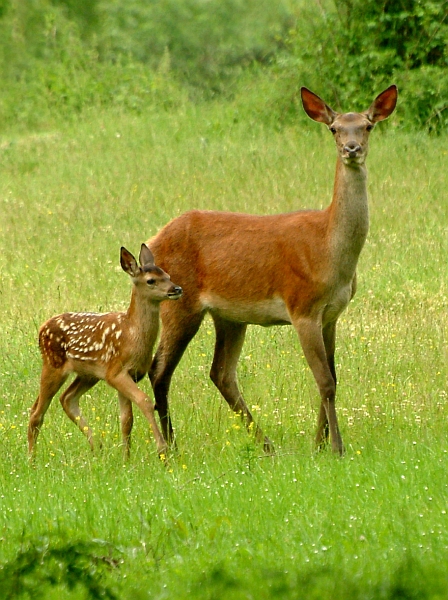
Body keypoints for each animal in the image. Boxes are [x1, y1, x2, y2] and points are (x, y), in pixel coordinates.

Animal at [28, 244, 182, 460]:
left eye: (167, 275)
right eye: (151, 280)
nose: (176, 289)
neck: (132, 333)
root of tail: (42, 328)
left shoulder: (129, 374)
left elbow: (126, 420)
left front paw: (126, 459)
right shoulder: (115, 371)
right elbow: (145, 401)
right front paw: (162, 451)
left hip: (88, 373)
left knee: (67, 398)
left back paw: (97, 448)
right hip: (53, 364)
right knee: (36, 413)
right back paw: (32, 460)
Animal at [146, 86, 396, 454]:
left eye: (367, 126)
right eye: (334, 128)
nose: (352, 149)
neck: (330, 252)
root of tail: (154, 239)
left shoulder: (332, 314)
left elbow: (333, 377)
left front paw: (318, 444)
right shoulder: (302, 306)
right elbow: (325, 380)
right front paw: (336, 447)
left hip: (229, 316)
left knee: (221, 373)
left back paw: (266, 445)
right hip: (179, 301)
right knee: (160, 370)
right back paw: (171, 446)